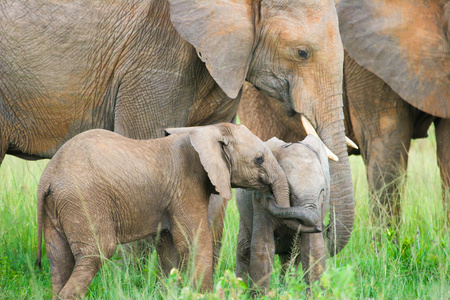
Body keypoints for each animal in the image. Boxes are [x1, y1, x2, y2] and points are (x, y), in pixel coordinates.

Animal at [35, 123, 302, 298]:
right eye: (259, 159)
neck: (205, 130)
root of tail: (49, 175)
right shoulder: (187, 185)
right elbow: (195, 243)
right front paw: (204, 295)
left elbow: (169, 248)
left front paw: (168, 292)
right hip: (83, 200)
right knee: (96, 253)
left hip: (58, 206)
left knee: (59, 258)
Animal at [236, 135, 330, 292]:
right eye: (290, 193)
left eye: (323, 190)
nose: (319, 227)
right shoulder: (259, 202)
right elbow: (263, 247)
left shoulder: (320, 206)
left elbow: (313, 248)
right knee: (244, 250)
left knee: (290, 257)